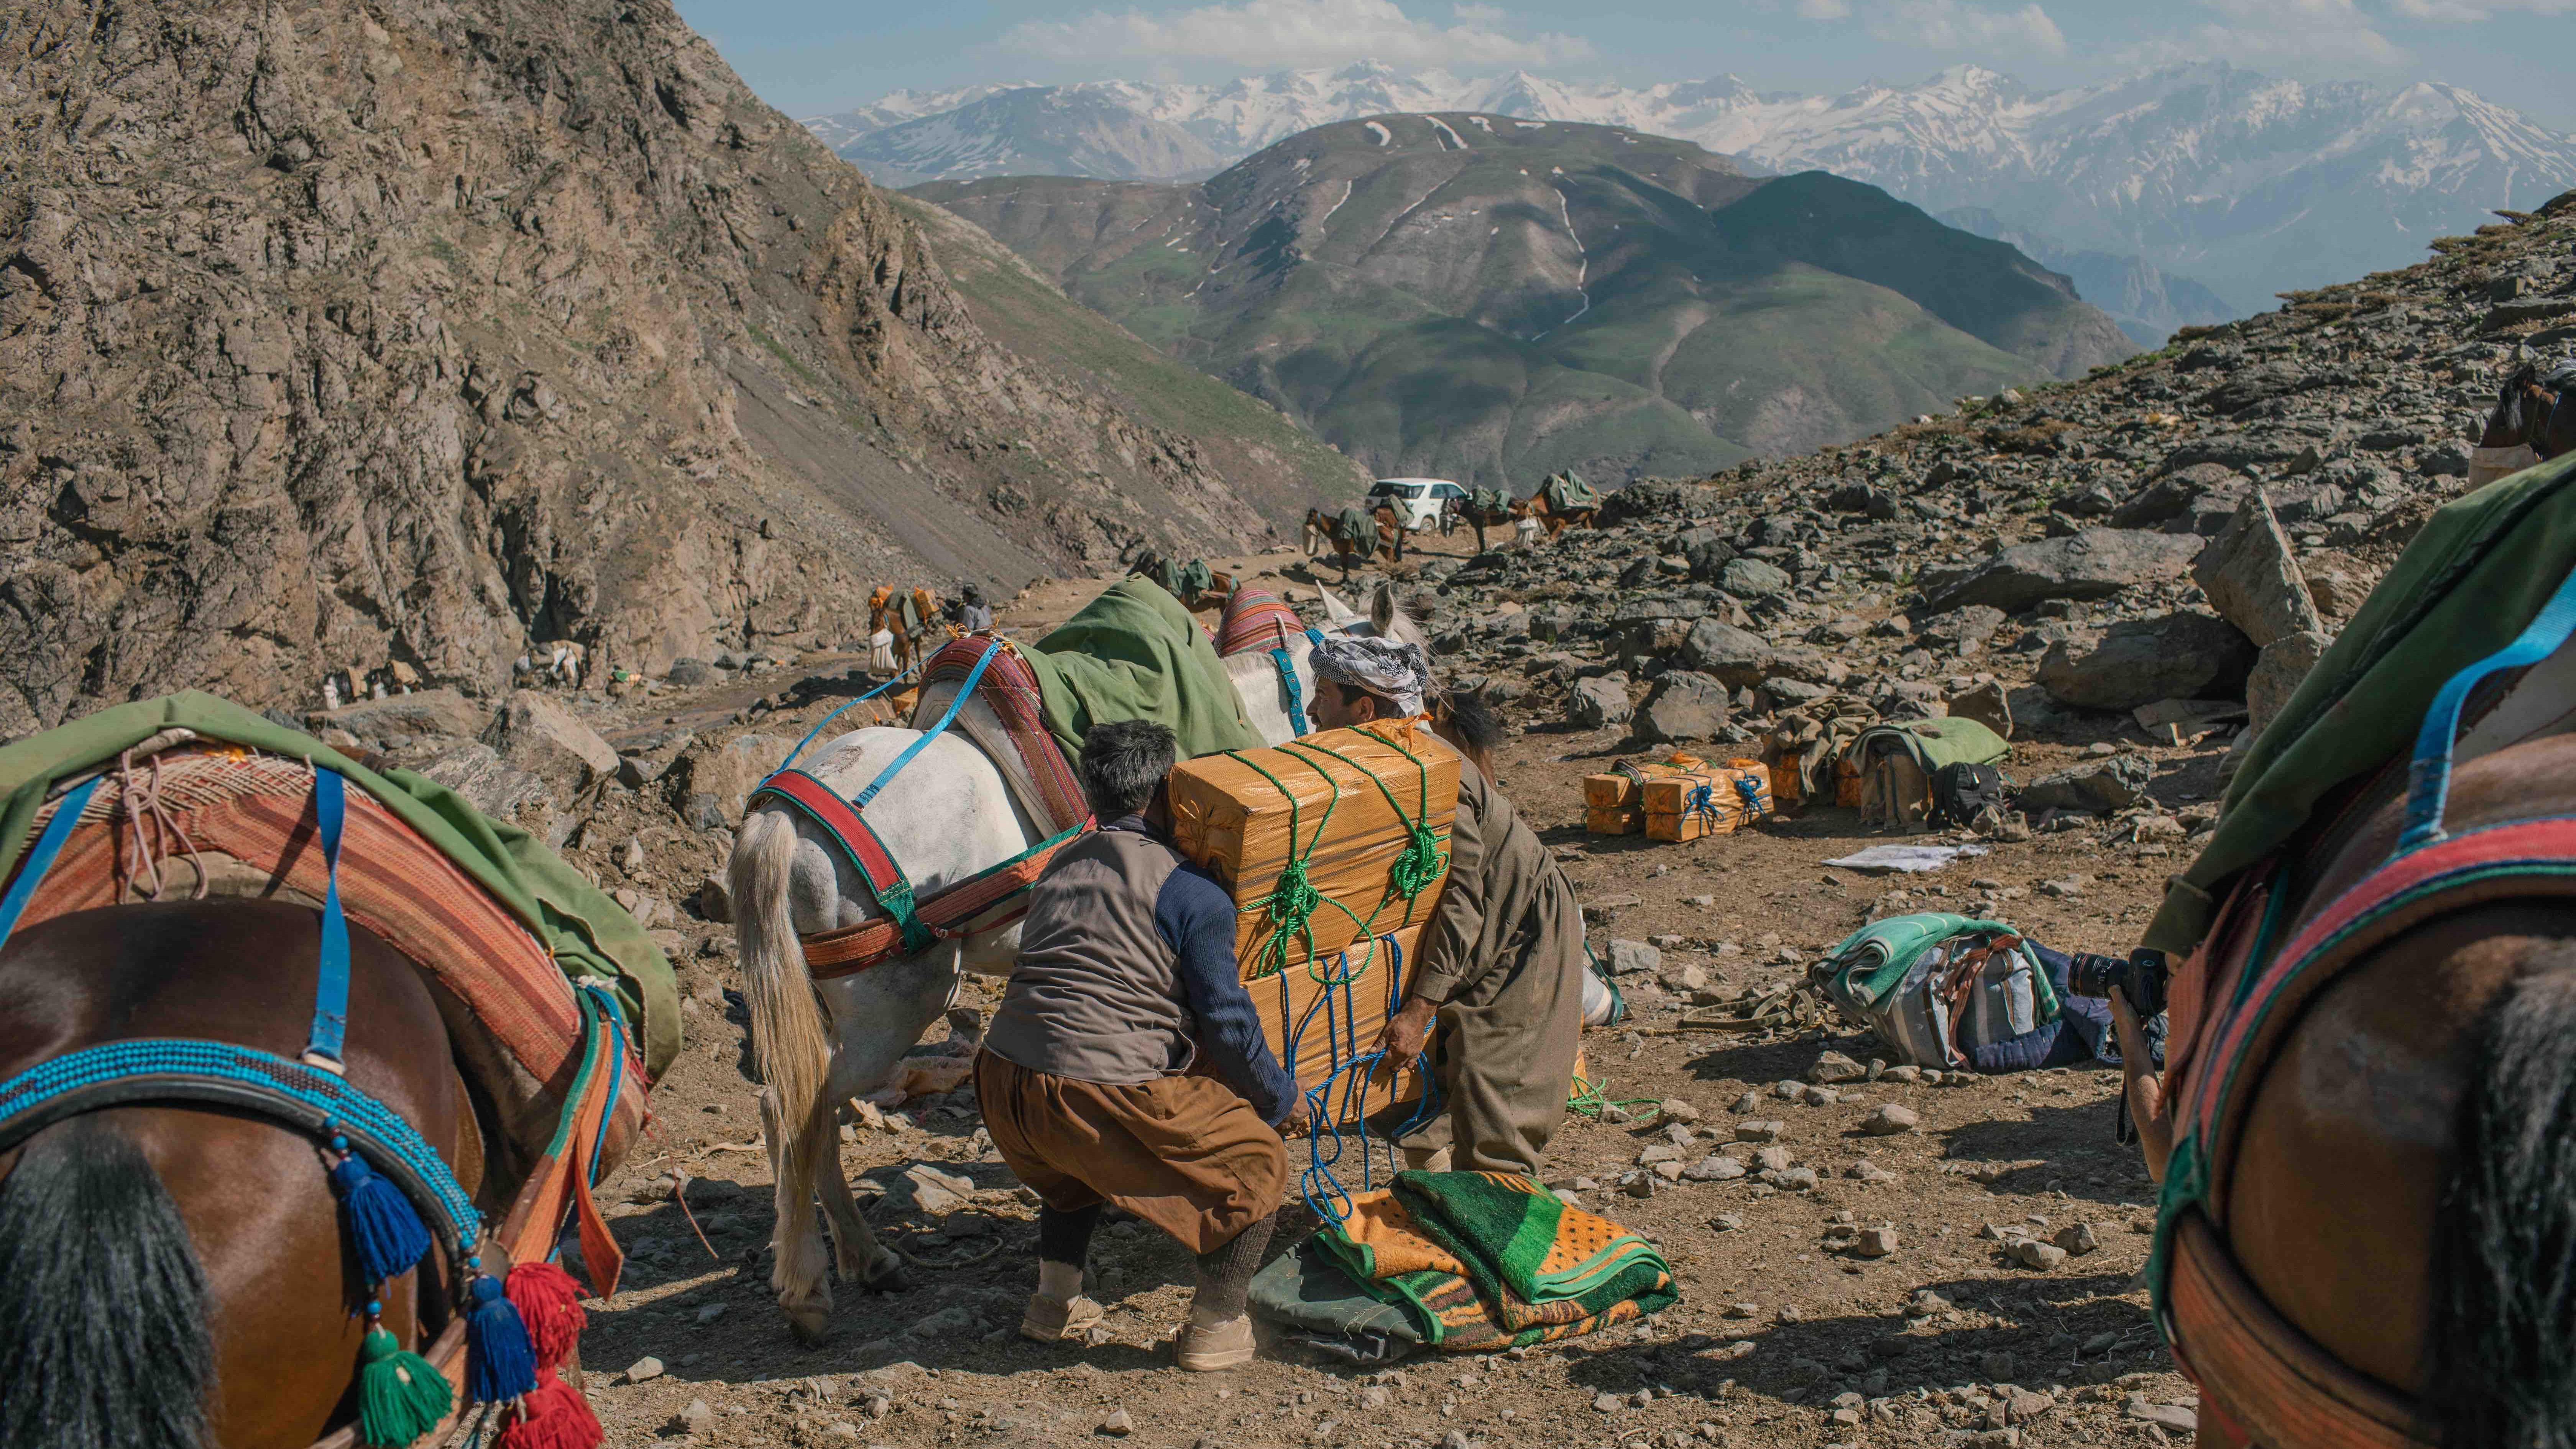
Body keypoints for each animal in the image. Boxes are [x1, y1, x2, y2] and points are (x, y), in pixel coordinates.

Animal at [736, 580, 1442, 1341]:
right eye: (1414, 668)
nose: (1432, 733)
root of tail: (784, 817)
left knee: (801, 1110)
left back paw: (861, 1262)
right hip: (894, 1006)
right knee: (795, 1109)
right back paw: (817, 1281)